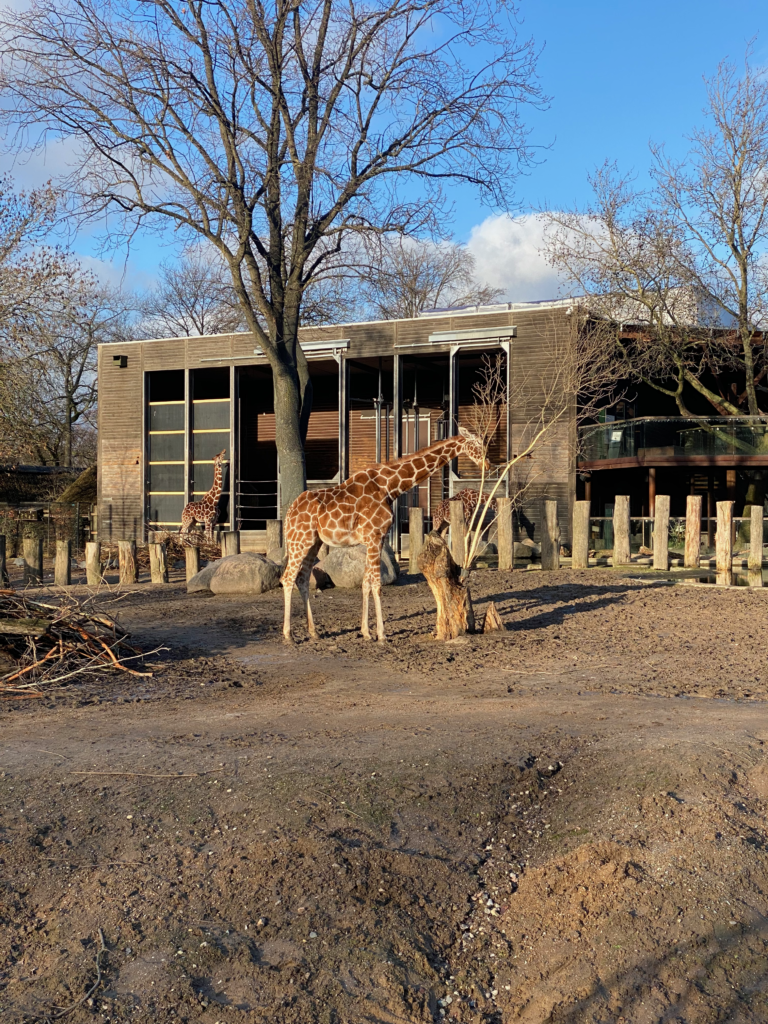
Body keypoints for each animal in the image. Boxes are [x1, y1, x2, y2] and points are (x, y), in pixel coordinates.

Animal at [284, 428, 493, 643]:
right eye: (477, 444)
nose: (488, 465)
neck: (389, 487)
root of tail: (289, 513)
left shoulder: (376, 539)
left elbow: (366, 583)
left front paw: (366, 632)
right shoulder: (374, 537)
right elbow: (376, 584)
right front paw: (382, 635)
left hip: (313, 542)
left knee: (302, 579)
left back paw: (313, 632)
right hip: (300, 541)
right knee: (288, 578)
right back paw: (289, 635)